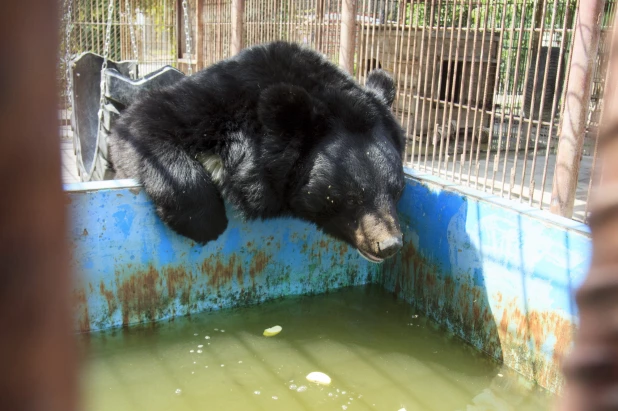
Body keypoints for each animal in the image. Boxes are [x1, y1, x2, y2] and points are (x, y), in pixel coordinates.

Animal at [108, 41, 406, 264]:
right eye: (353, 197)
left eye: (397, 191)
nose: (389, 245)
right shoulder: (206, 102)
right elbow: (145, 123)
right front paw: (206, 224)